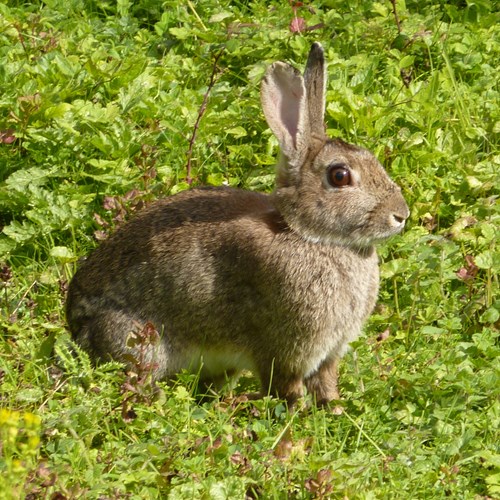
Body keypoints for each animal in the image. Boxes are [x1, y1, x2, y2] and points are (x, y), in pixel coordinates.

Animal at [66, 43, 408, 406]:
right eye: (339, 176)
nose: (401, 214)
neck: (307, 235)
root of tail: (76, 327)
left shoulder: (329, 353)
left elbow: (325, 382)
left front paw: (334, 408)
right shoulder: (287, 348)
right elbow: (286, 386)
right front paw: (299, 410)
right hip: (141, 342)